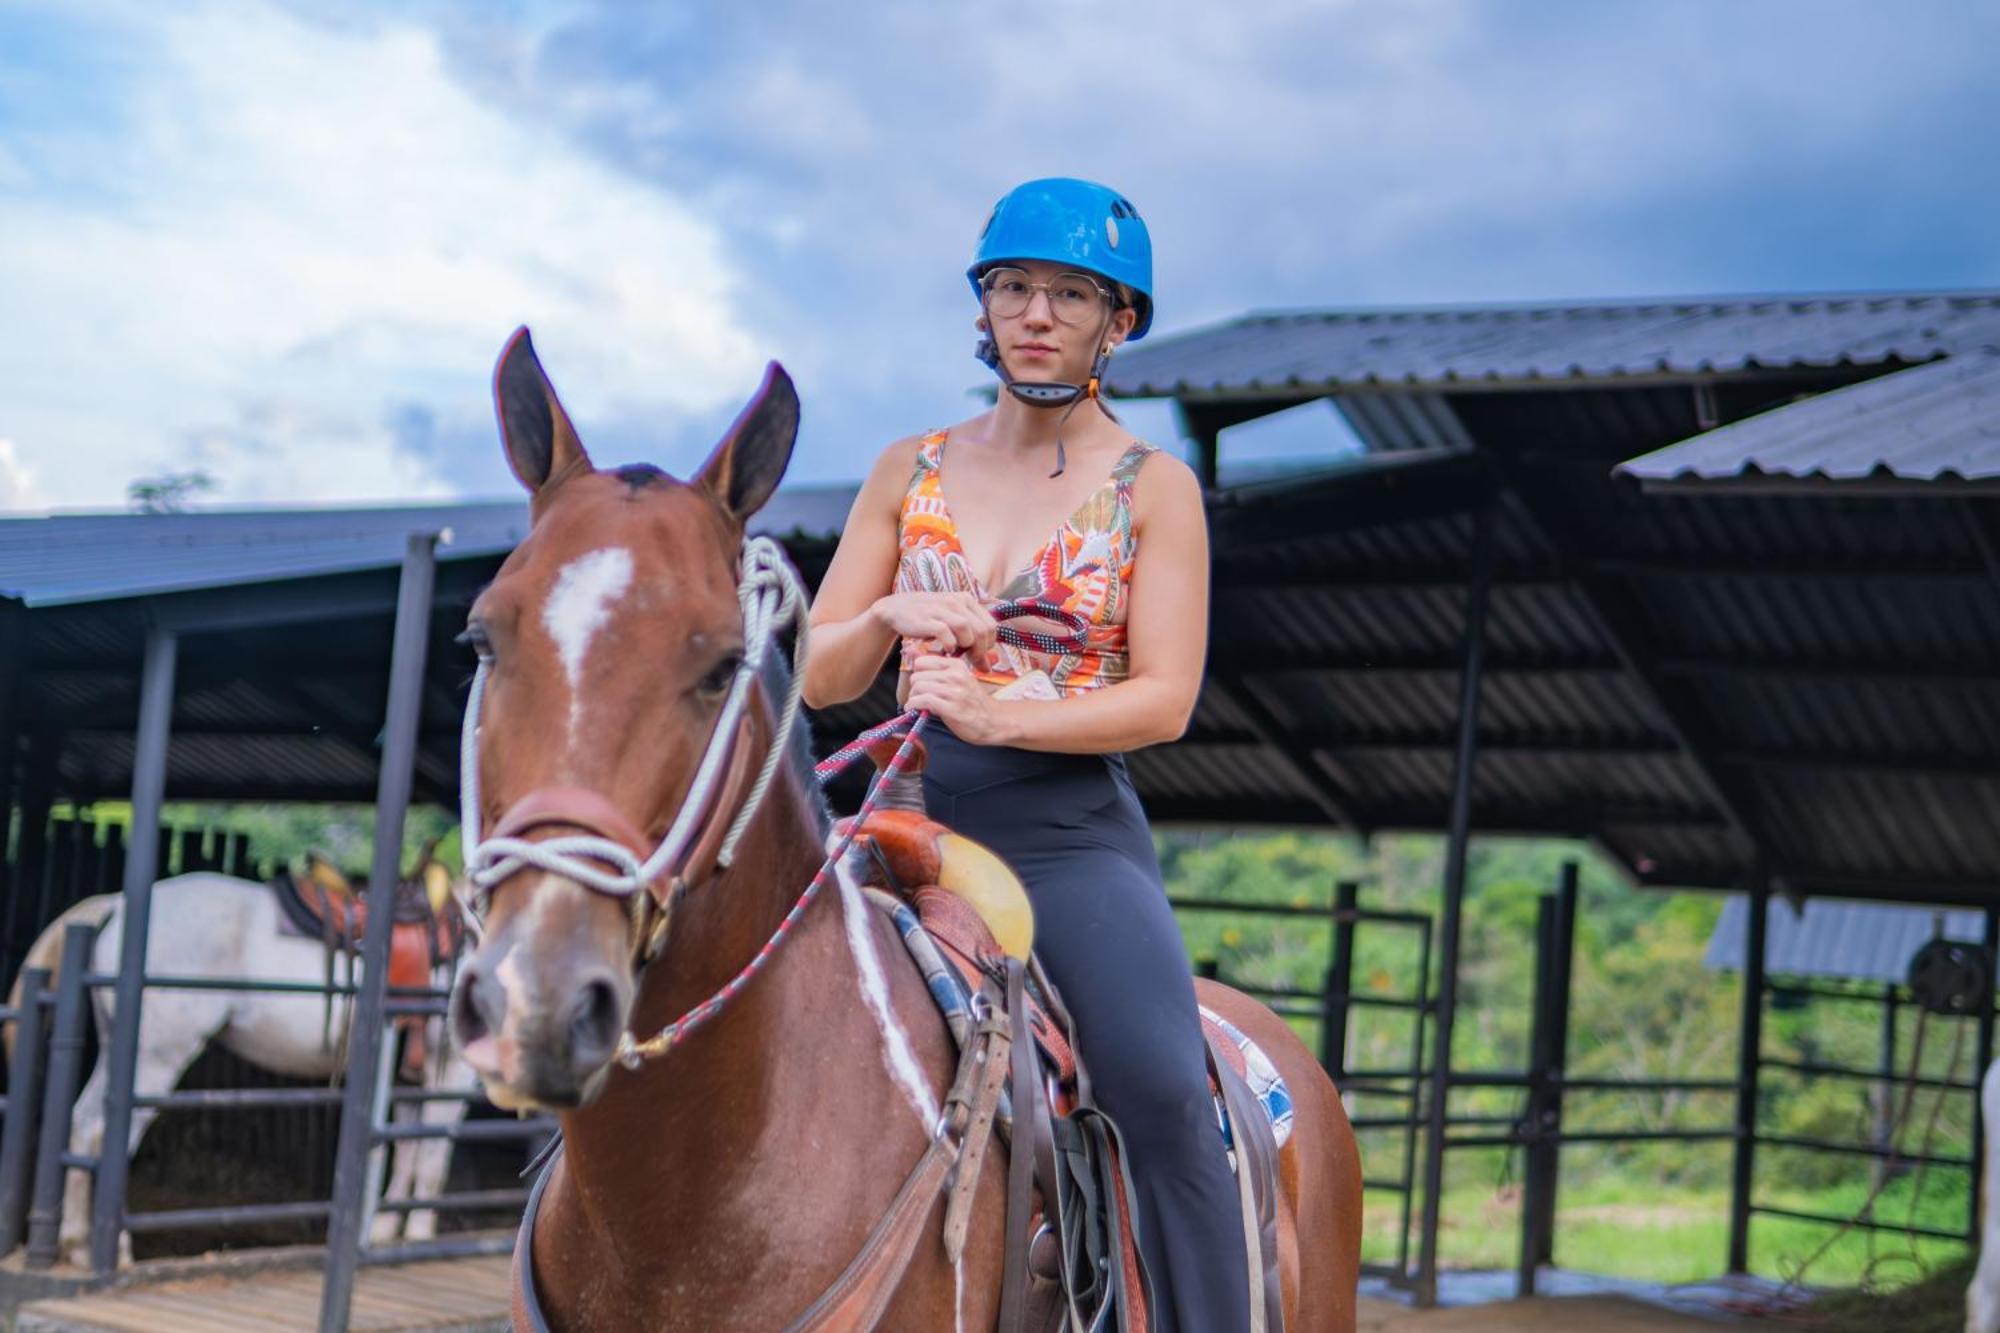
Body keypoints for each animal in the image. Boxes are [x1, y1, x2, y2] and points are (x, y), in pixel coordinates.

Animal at [9, 856, 476, 1264]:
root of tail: (120, 905)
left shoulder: (410, 1079)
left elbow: (409, 1148)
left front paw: (384, 1231)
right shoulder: (451, 1071)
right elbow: (433, 1153)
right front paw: (418, 1235)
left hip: (114, 1050)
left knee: (84, 1124)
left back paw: (75, 1243)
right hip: (152, 1062)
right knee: (110, 1134)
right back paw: (116, 1248)